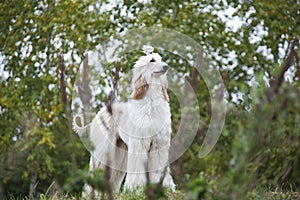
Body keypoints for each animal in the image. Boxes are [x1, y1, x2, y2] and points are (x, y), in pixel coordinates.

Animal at [73, 45, 176, 192]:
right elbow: (137, 168)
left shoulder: (159, 145)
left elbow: (159, 167)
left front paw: (164, 187)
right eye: (152, 60)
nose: (166, 66)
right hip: (103, 148)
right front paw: (136, 187)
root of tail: (102, 111)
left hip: (120, 151)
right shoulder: (139, 143)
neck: (152, 102)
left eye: (160, 59)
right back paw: (90, 193)